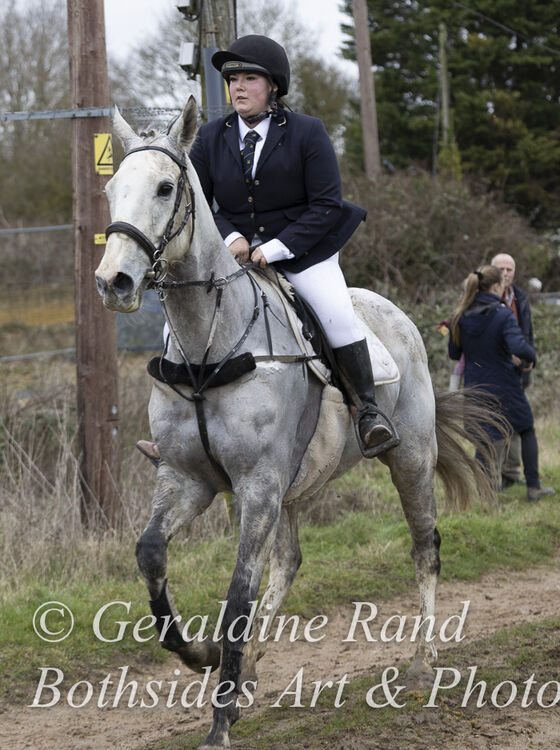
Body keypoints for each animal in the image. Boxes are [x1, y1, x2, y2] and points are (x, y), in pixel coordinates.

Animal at [95, 97, 495, 749]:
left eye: (164, 187)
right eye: (110, 190)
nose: (115, 283)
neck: (208, 347)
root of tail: (397, 315)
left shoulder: (256, 484)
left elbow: (238, 592)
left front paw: (219, 722)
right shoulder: (189, 479)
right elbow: (151, 554)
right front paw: (204, 658)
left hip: (408, 460)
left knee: (424, 547)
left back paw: (421, 663)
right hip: (291, 487)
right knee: (288, 561)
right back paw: (250, 670)